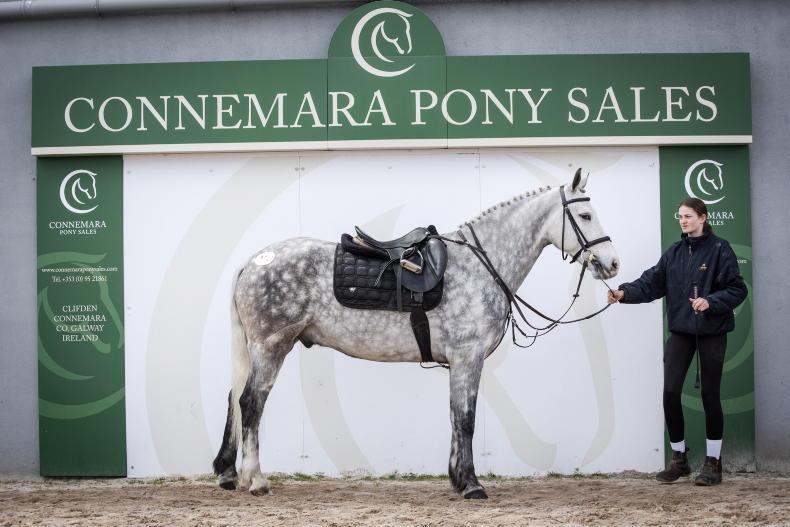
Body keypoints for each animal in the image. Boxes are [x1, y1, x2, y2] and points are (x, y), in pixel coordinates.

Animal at [212, 168, 620, 499]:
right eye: (585, 215)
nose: (613, 263)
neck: (479, 266)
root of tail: (253, 262)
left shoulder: (460, 362)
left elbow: (456, 417)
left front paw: (457, 479)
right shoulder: (468, 357)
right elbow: (466, 419)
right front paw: (472, 485)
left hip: (257, 349)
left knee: (235, 400)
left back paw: (228, 474)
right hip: (271, 347)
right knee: (251, 403)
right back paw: (256, 481)